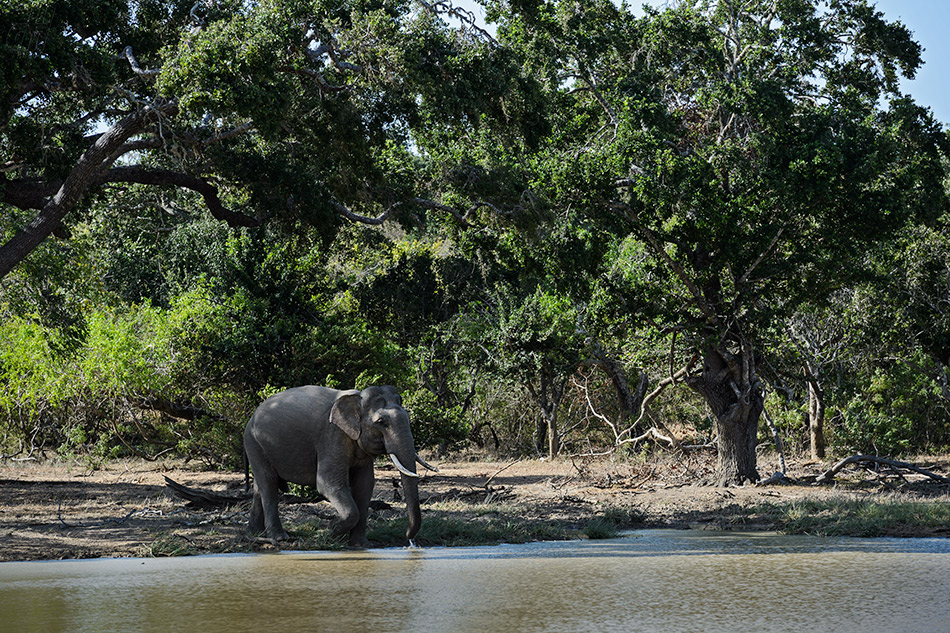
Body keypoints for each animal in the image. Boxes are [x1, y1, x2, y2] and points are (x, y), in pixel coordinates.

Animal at [242, 382, 436, 544]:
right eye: (381, 422)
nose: (408, 538)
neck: (357, 399)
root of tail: (252, 416)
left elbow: (364, 485)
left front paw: (360, 545)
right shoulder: (332, 435)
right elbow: (328, 483)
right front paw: (331, 532)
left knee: (261, 487)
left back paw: (254, 532)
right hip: (253, 442)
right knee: (269, 484)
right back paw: (279, 538)